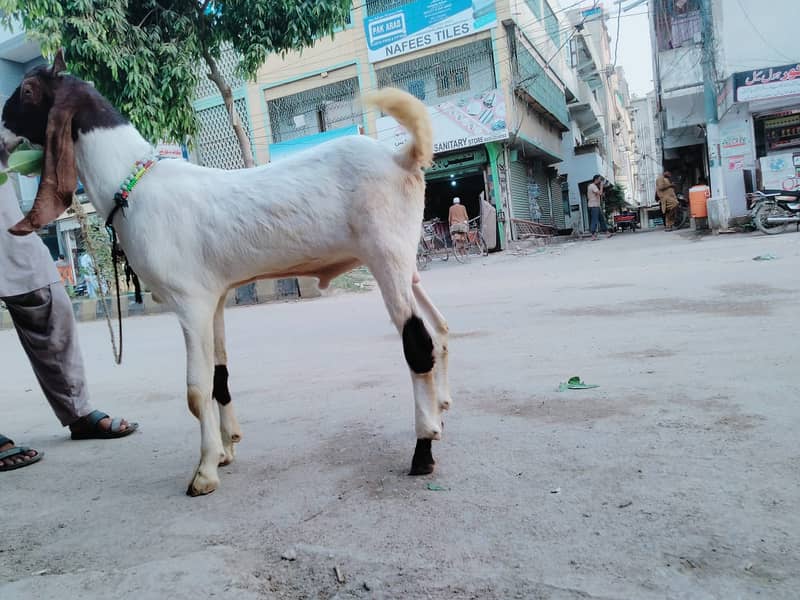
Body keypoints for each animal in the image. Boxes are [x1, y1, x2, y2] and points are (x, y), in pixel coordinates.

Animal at [1, 51, 450, 494]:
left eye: (28, 91)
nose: (2, 132)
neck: (136, 184)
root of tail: (401, 157)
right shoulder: (215, 297)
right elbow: (220, 376)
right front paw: (226, 447)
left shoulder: (190, 303)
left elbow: (196, 390)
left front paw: (204, 471)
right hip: (404, 262)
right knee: (439, 328)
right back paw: (440, 413)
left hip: (386, 255)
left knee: (418, 343)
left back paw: (424, 449)